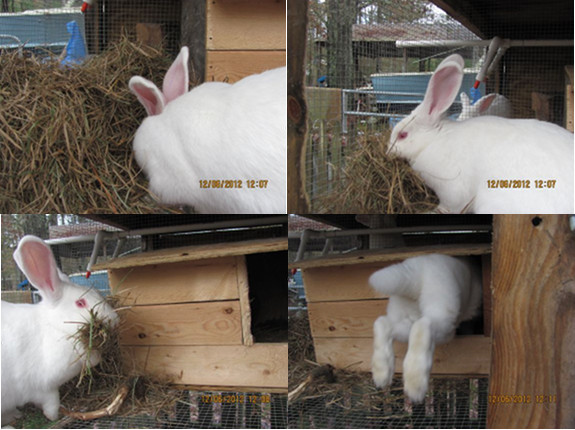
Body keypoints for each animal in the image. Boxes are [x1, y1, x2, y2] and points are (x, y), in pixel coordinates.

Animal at [0, 237, 118, 424]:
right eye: (80, 303)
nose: (115, 320)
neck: (53, 327)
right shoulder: (44, 387)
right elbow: (51, 403)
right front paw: (54, 416)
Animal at [368, 254, 482, 402]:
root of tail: (419, 267)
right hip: (445, 320)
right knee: (423, 325)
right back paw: (415, 384)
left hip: (405, 320)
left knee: (383, 323)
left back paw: (382, 373)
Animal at [390, 54, 572, 215]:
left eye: (402, 135)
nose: (388, 152)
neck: (434, 139)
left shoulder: (451, 193)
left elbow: (449, 207)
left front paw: (432, 211)